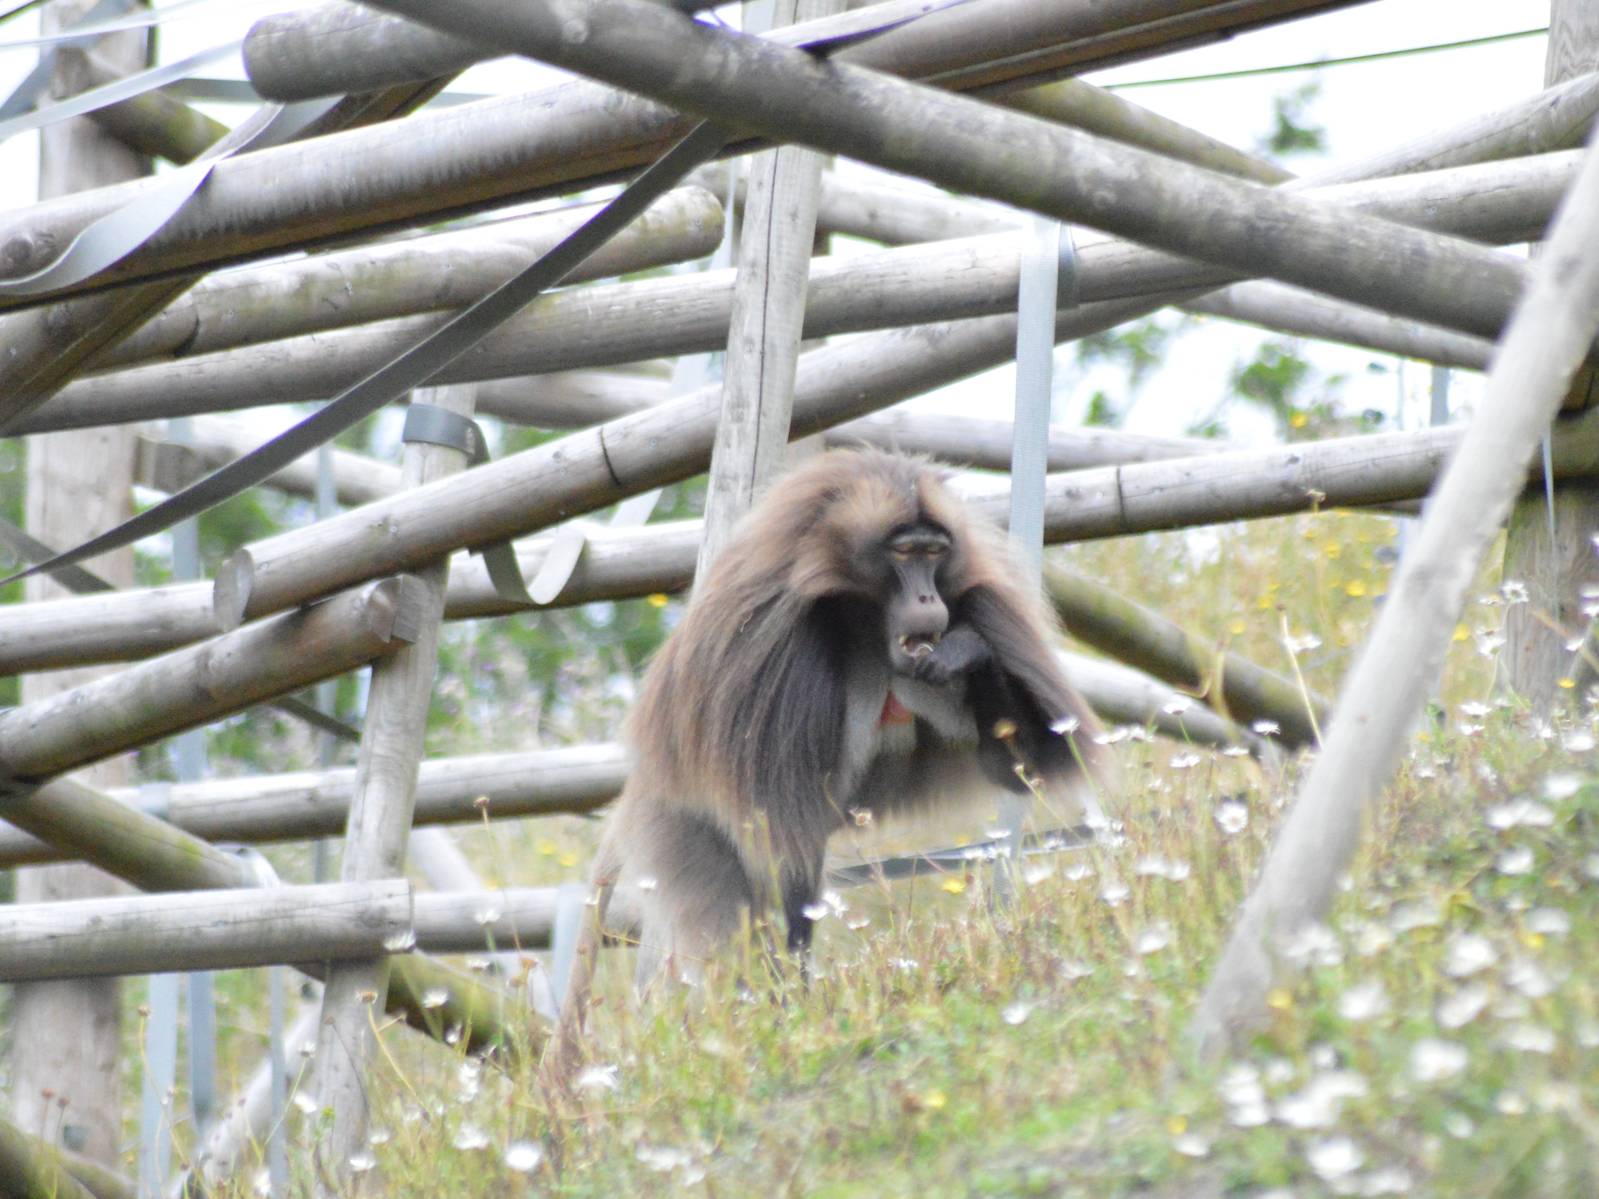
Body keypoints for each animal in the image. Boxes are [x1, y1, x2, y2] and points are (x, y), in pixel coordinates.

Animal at [543, 448, 1112, 1080]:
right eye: (904, 553)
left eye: (935, 553)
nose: (927, 600)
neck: (860, 619)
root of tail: (637, 786)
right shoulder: (780, 657)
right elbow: (780, 842)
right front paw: (791, 1014)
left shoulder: (981, 604)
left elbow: (1020, 762)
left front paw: (967, 651)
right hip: (675, 823)